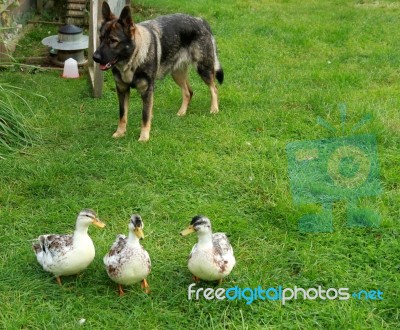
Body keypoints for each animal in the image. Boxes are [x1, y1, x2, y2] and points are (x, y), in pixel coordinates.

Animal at [92, 2, 223, 142]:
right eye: (101, 38)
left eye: (113, 41)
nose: (95, 57)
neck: (133, 59)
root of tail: (200, 20)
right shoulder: (122, 90)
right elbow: (122, 114)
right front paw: (120, 133)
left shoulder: (147, 92)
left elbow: (145, 116)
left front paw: (144, 137)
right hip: (177, 74)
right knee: (189, 92)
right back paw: (182, 112)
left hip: (204, 70)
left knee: (214, 88)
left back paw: (214, 109)